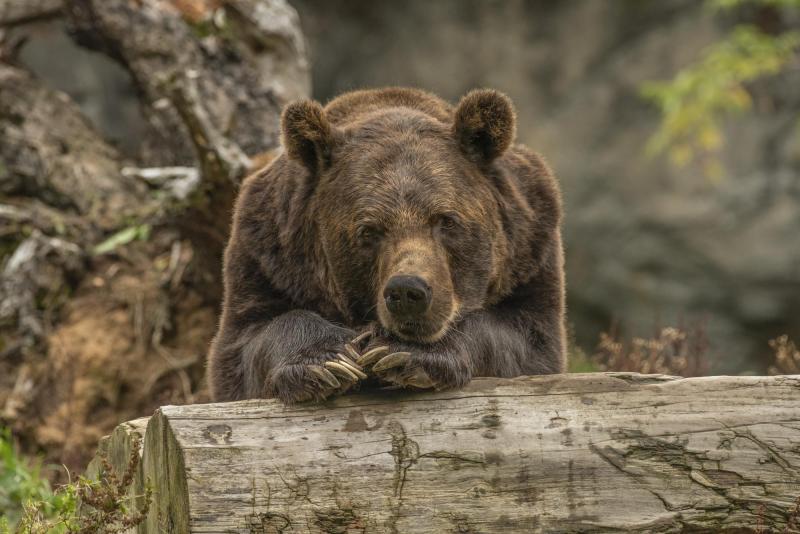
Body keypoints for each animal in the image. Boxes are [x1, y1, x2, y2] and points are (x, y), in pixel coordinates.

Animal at [207, 87, 566, 404]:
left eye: (446, 220)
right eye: (369, 230)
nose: (408, 292)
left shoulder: (530, 251)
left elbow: (525, 341)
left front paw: (403, 352)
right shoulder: (267, 256)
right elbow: (247, 343)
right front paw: (328, 362)